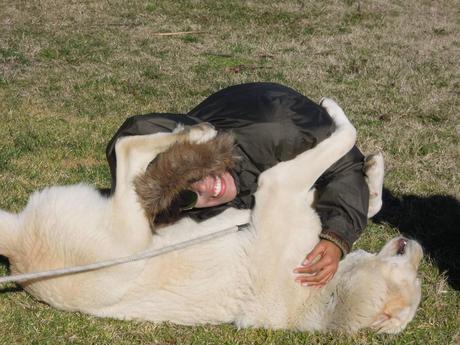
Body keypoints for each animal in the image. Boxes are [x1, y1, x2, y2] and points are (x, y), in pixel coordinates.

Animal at [0, 99, 422, 334]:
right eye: (413, 275)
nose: (415, 245)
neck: (319, 295)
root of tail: (19, 249)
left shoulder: (278, 185)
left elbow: (345, 138)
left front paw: (338, 117)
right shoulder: (289, 190)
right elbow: (364, 197)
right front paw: (373, 169)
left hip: (129, 230)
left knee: (127, 151)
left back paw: (197, 134)